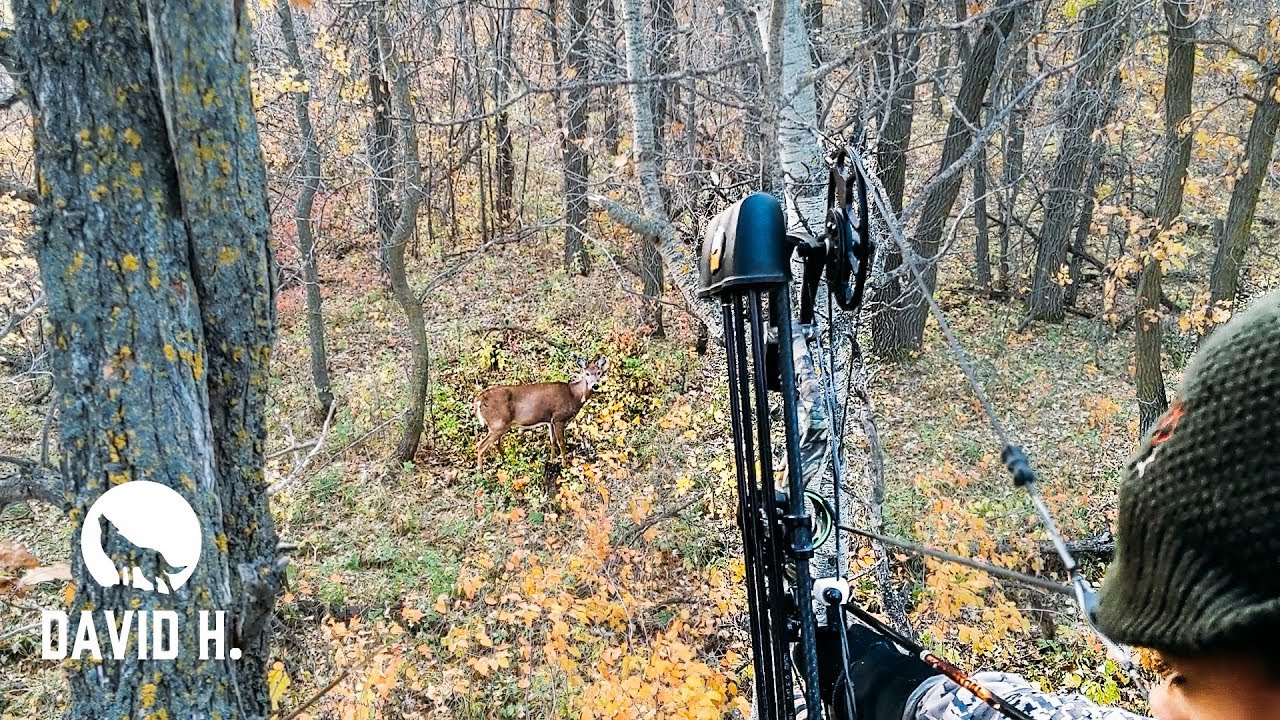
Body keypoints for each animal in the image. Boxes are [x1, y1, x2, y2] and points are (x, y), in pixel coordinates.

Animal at [474, 357, 609, 469]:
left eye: (599, 372)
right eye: (586, 373)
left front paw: (552, 460)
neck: (573, 395)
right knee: (481, 445)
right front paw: (564, 465)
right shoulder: (558, 418)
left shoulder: (550, 420)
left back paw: (507, 460)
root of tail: (480, 399)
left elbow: (552, 441)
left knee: (495, 443)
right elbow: (561, 443)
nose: (595, 385)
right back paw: (481, 472)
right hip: (498, 423)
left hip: (499, 424)